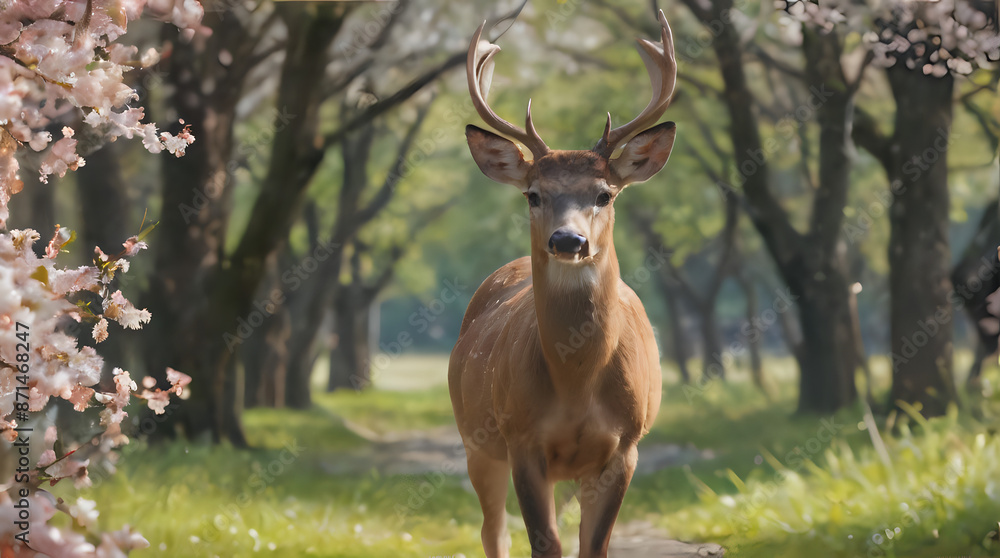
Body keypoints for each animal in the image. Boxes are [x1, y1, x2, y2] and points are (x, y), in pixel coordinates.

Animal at [448, 10, 677, 558]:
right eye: (533, 194)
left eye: (605, 193)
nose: (568, 239)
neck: (576, 385)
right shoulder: (521, 439)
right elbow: (544, 542)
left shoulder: (626, 446)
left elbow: (593, 546)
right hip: (475, 439)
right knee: (493, 530)